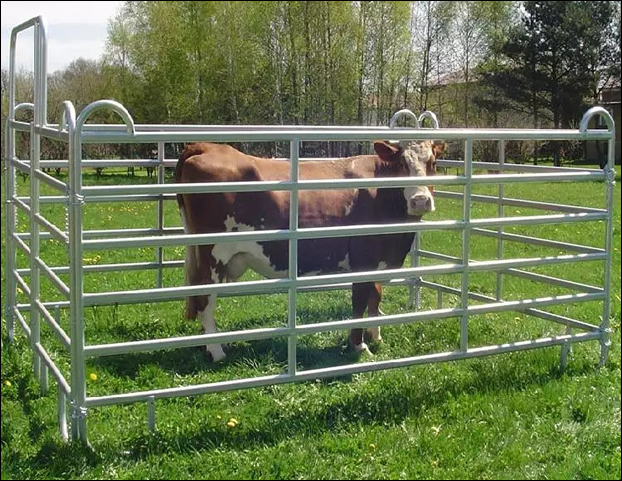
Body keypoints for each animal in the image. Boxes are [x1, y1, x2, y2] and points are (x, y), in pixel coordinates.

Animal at [177, 141, 444, 362]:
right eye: (401, 163)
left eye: (432, 162)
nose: (420, 200)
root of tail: (207, 146)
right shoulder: (363, 259)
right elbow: (359, 301)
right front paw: (359, 345)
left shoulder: (378, 261)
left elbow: (375, 296)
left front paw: (376, 335)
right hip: (213, 255)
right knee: (204, 298)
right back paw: (216, 350)